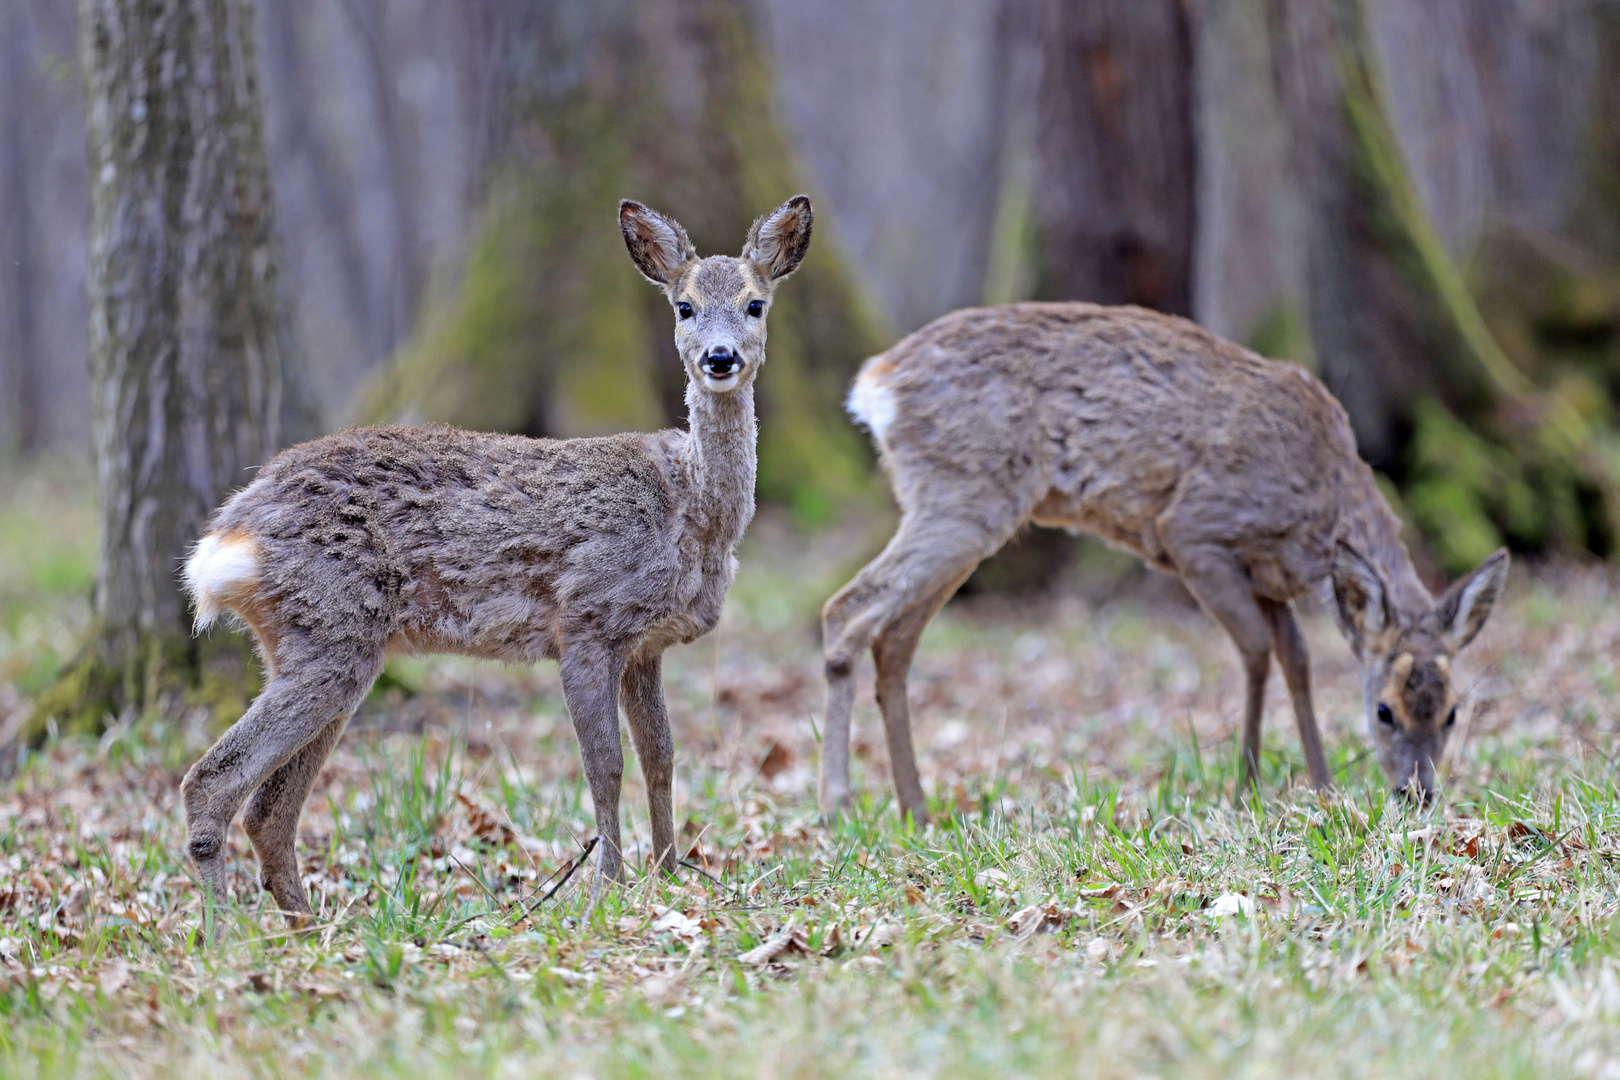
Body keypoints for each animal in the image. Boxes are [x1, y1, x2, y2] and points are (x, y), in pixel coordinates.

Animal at [179, 196, 816, 919]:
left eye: (755, 303)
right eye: (683, 306)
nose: (719, 357)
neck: (695, 513)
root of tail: (226, 536)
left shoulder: (645, 645)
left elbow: (662, 758)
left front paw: (669, 873)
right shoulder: (587, 619)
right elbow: (606, 763)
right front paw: (608, 889)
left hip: (323, 645)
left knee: (269, 812)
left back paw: (305, 927)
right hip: (329, 627)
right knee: (210, 781)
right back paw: (229, 931)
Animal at [822, 299, 1503, 822]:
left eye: (1452, 712)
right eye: (1384, 711)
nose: (1417, 793)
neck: (1316, 504)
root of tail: (877, 381)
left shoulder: (1268, 578)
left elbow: (1298, 659)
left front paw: (1323, 786)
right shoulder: (1194, 533)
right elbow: (1256, 652)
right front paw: (1247, 789)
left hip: (964, 509)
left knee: (895, 641)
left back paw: (916, 810)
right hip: (967, 497)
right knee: (845, 610)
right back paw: (837, 808)